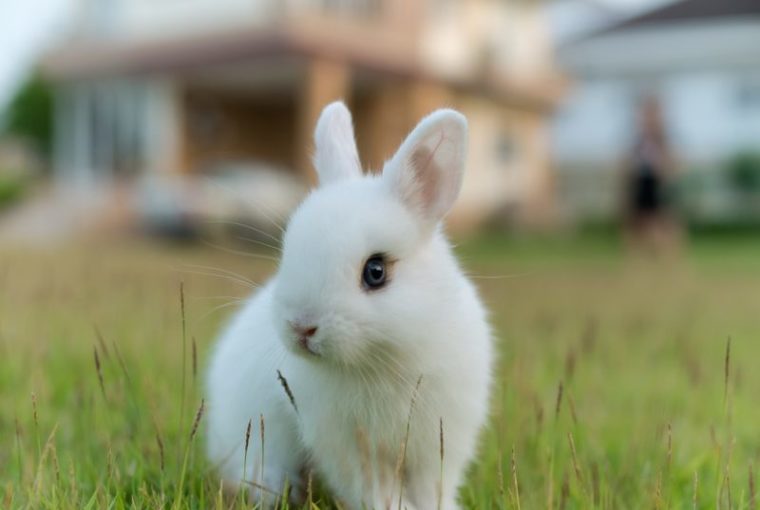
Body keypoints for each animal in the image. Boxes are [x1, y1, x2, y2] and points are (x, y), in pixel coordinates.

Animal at [208, 101, 492, 508]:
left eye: (375, 271)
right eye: (287, 252)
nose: (301, 327)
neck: (386, 360)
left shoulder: (440, 443)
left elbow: (432, 487)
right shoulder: (351, 450)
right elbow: (376, 491)